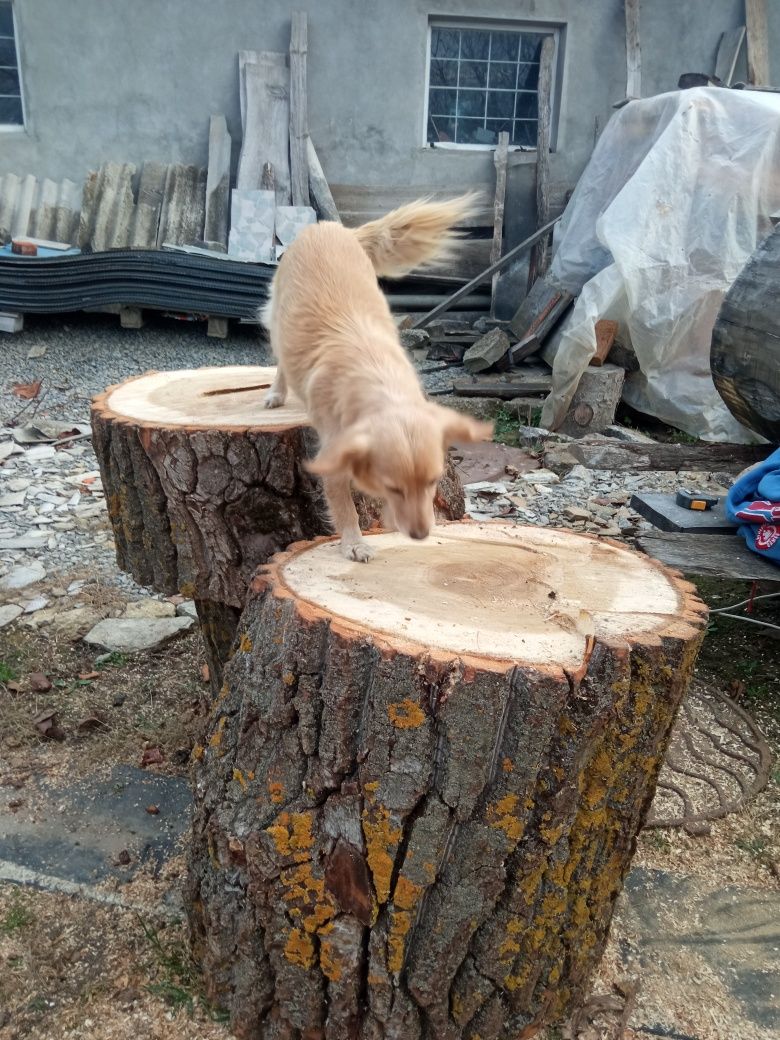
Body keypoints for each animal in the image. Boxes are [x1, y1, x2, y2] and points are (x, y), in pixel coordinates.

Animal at [263, 198, 495, 565]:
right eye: (394, 487)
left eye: (433, 482)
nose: (421, 535)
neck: (380, 381)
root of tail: (330, 226)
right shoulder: (334, 454)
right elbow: (344, 504)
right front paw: (354, 542)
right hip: (278, 321)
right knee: (282, 362)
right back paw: (276, 393)